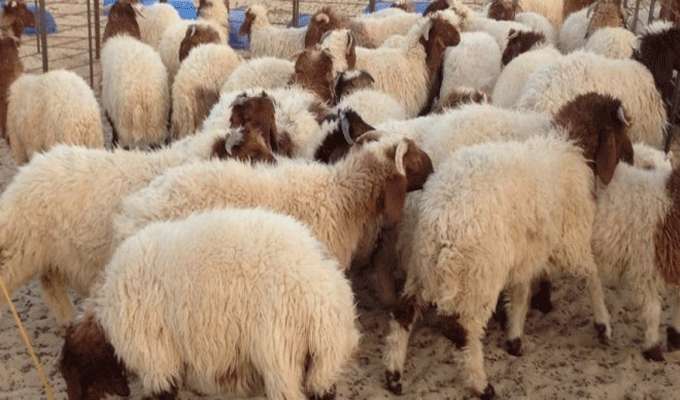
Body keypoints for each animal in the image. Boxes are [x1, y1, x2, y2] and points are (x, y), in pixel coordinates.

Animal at [0, 104, 277, 326]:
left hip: (51, 253)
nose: (280, 165)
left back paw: (67, 318)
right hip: (18, 251)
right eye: (252, 154)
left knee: (50, 284)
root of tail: (25, 174)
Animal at [383, 93, 632, 398]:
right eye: (622, 131)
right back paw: (481, 383)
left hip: (422, 267)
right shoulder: (570, 241)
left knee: (403, 313)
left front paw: (514, 335)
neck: (569, 147)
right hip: (479, 276)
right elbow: (592, 275)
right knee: (465, 329)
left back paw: (394, 375)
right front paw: (603, 326)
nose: (632, 158)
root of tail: (440, 221)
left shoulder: (527, 249)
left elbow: (522, 291)